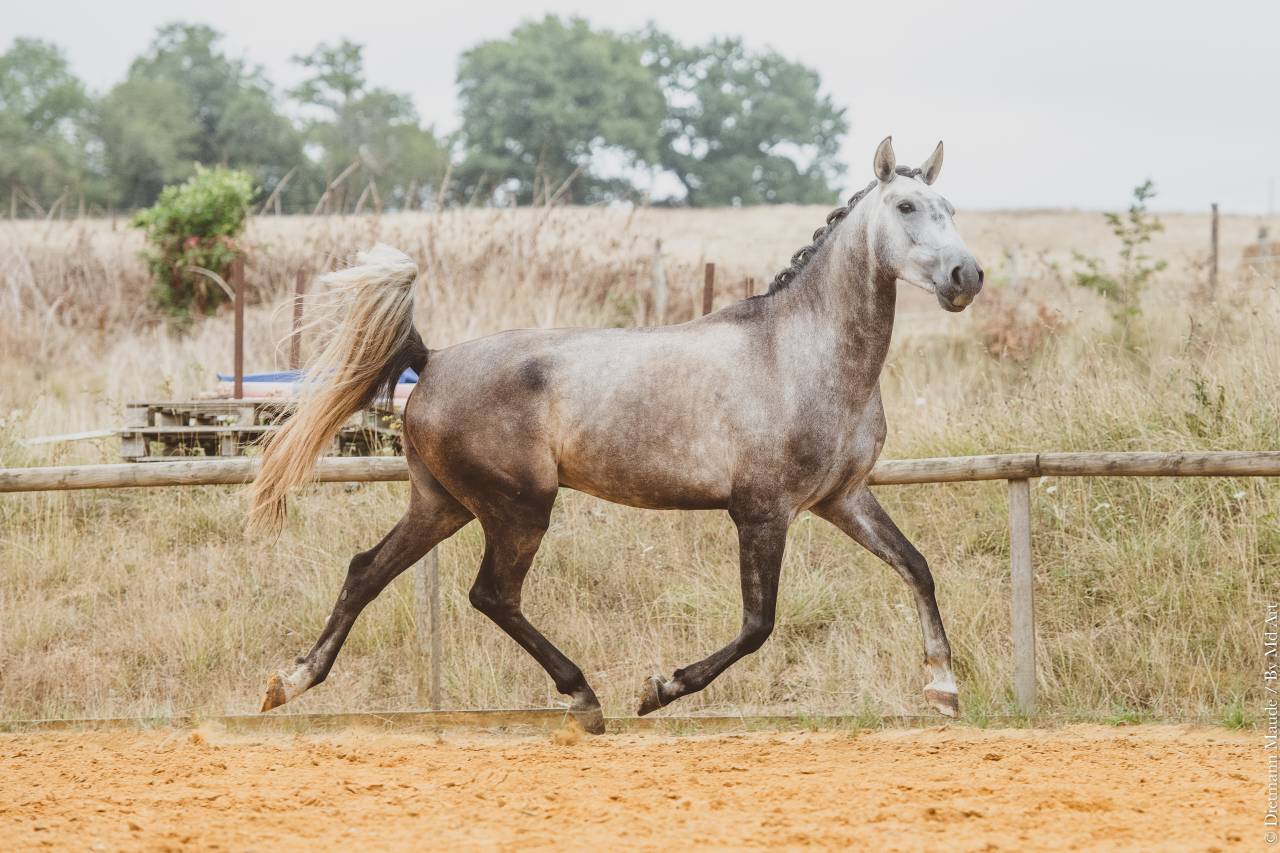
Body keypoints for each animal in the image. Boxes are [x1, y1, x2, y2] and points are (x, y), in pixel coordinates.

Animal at [251, 137, 984, 733]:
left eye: (949, 205)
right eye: (907, 206)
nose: (966, 276)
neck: (800, 355)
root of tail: (430, 362)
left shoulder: (843, 498)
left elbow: (916, 566)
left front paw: (944, 689)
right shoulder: (762, 511)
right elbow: (758, 624)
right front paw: (659, 689)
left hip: (444, 504)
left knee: (366, 571)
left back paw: (289, 682)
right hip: (519, 508)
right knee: (491, 594)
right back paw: (584, 697)